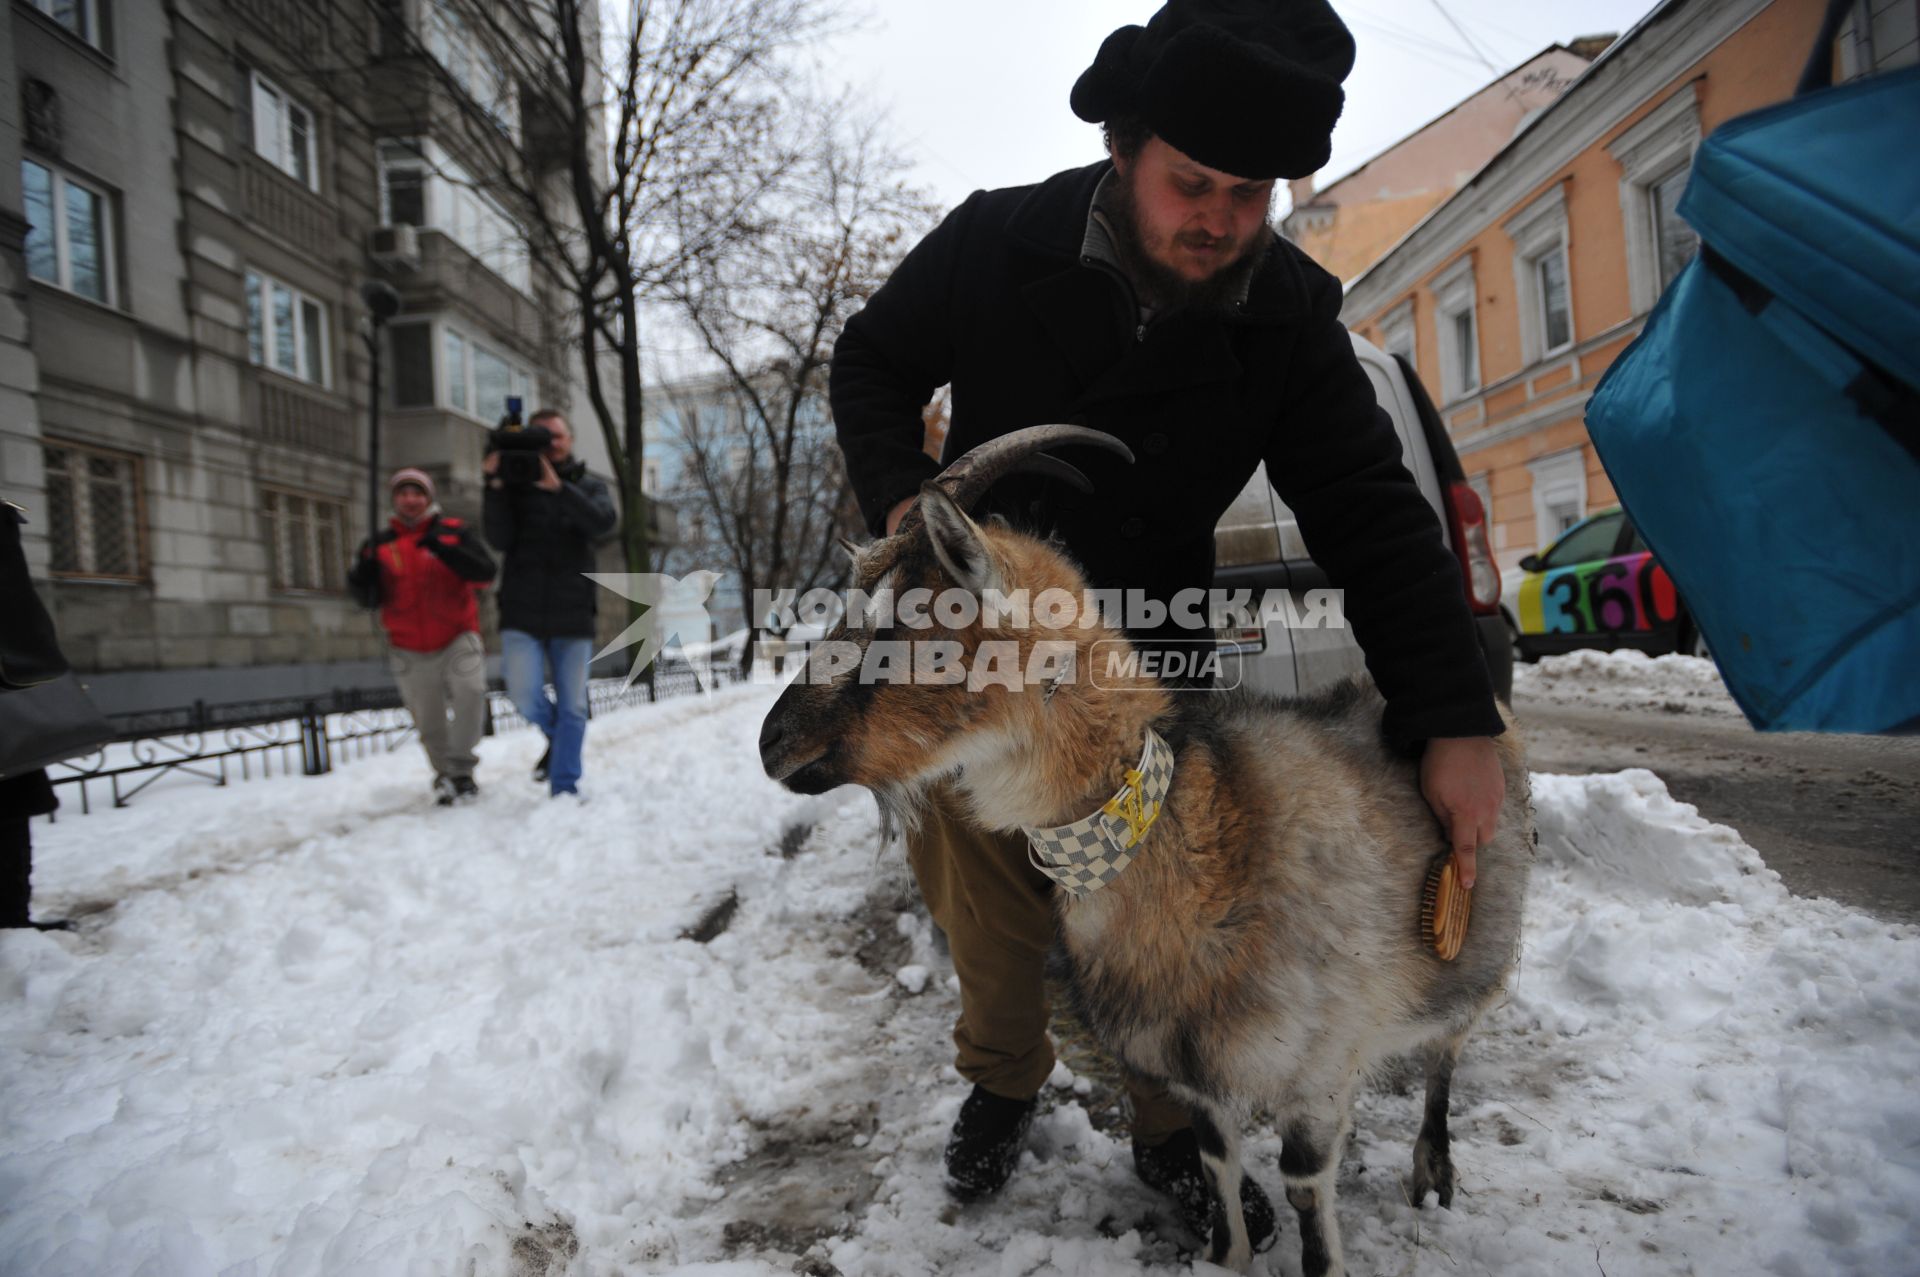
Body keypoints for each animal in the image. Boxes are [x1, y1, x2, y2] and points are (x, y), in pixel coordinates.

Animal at [760, 422, 1528, 1267]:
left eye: (903, 625)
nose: (772, 742)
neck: (1203, 843)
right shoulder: (1193, 1076)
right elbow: (1217, 1166)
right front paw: (1225, 1258)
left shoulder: (1320, 1067)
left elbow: (1307, 1194)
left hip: (1472, 953)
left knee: (1445, 1052)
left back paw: (1433, 1172)